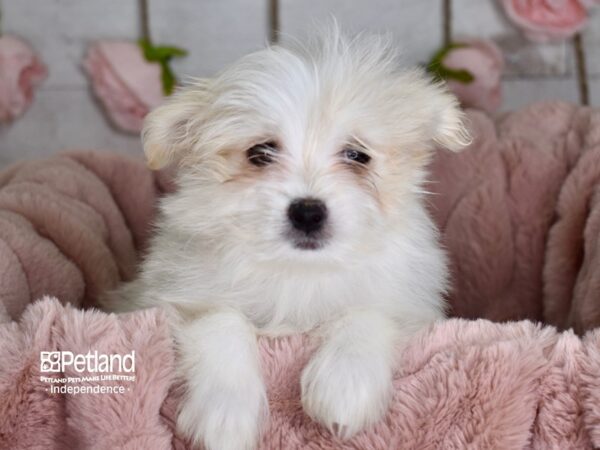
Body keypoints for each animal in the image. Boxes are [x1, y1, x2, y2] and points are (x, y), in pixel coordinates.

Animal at [105, 26, 472, 450]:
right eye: (260, 153)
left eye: (357, 155)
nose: (308, 212)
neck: (299, 269)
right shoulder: (171, 297)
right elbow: (220, 319)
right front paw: (225, 415)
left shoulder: (408, 302)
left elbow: (367, 313)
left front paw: (345, 388)